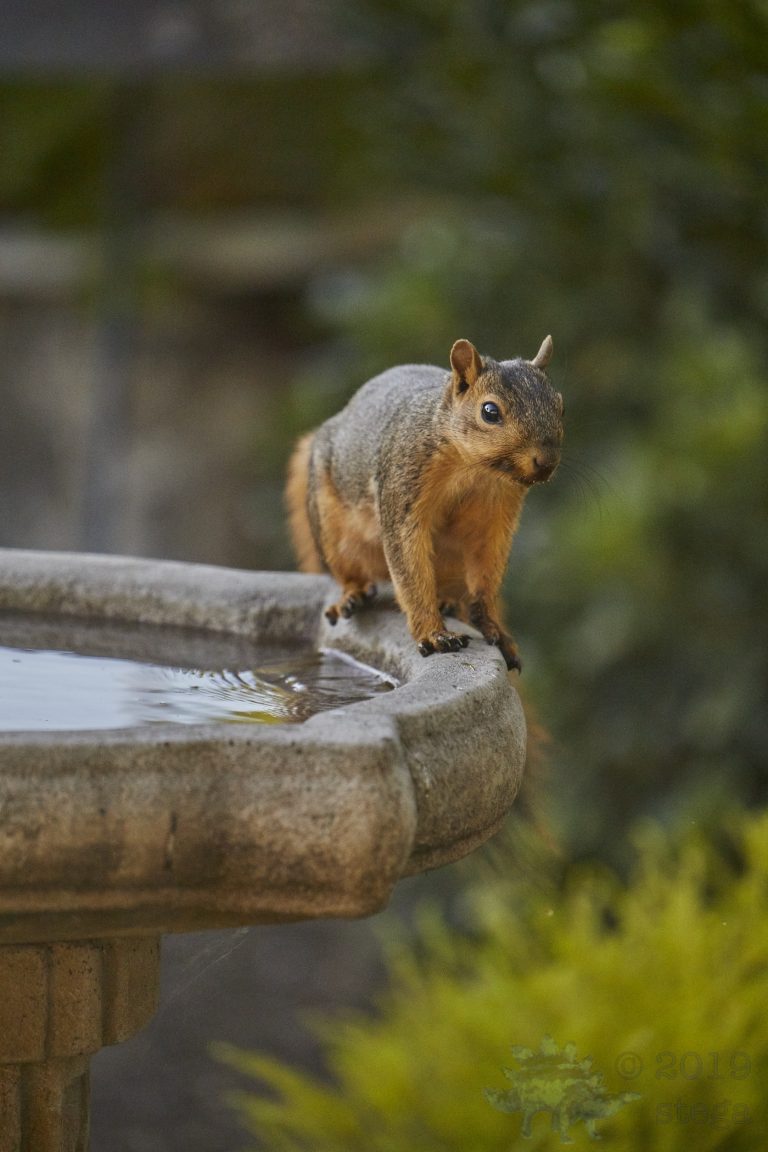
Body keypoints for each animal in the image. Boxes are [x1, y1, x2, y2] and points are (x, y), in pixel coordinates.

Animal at [285, 336, 563, 671]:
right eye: (490, 412)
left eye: (560, 405)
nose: (546, 461)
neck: (474, 469)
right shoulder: (403, 484)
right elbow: (409, 569)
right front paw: (434, 635)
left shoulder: (496, 515)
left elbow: (486, 573)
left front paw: (494, 629)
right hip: (331, 526)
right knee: (347, 569)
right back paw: (353, 594)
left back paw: (450, 602)